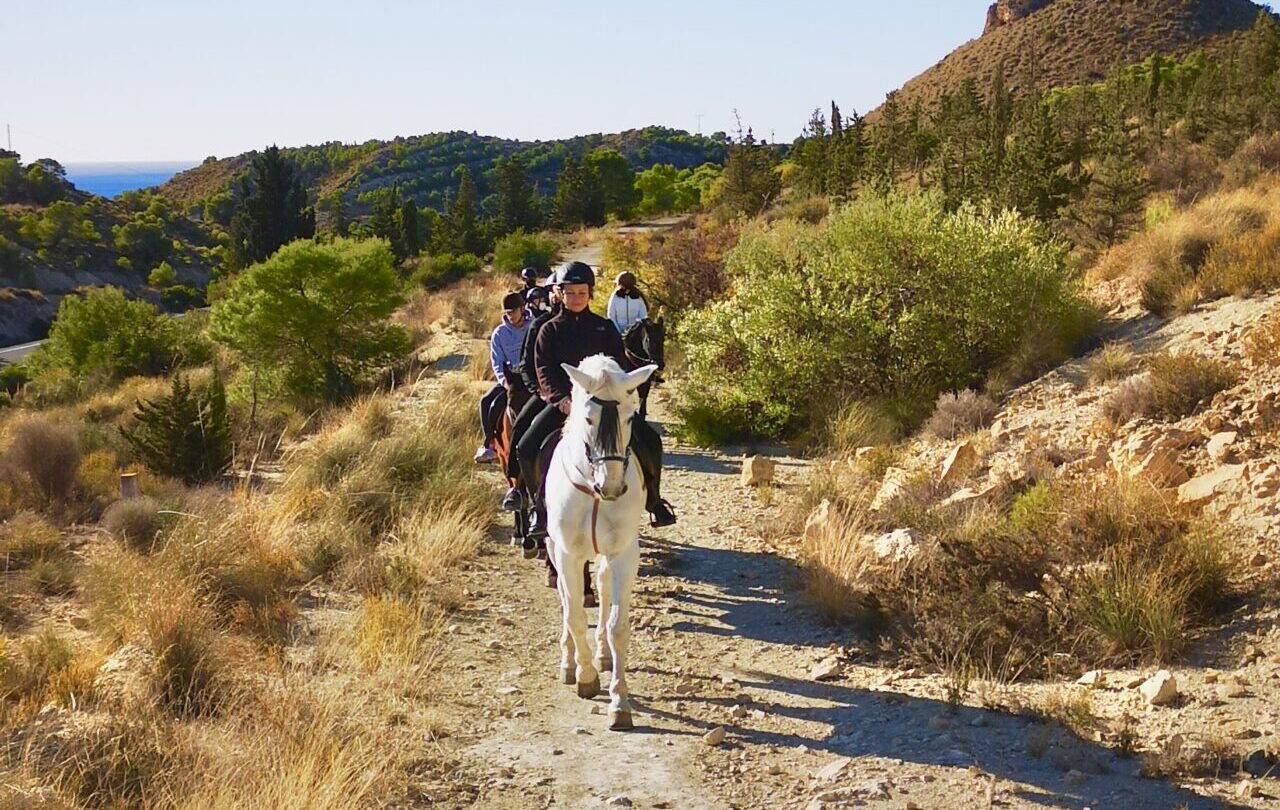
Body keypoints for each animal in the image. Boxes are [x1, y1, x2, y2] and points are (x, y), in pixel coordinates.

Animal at [545, 353, 660, 726]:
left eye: (629, 416)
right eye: (588, 418)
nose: (610, 487)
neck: (593, 493)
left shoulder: (624, 553)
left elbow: (617, 626)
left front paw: (619, 701)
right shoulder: (568, 554)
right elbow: (575, 615)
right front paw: (585, 677)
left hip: (606, 555)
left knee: (604, 585)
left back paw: (603, 655)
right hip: (555, 549)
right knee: (566, 600)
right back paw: (569, 663)